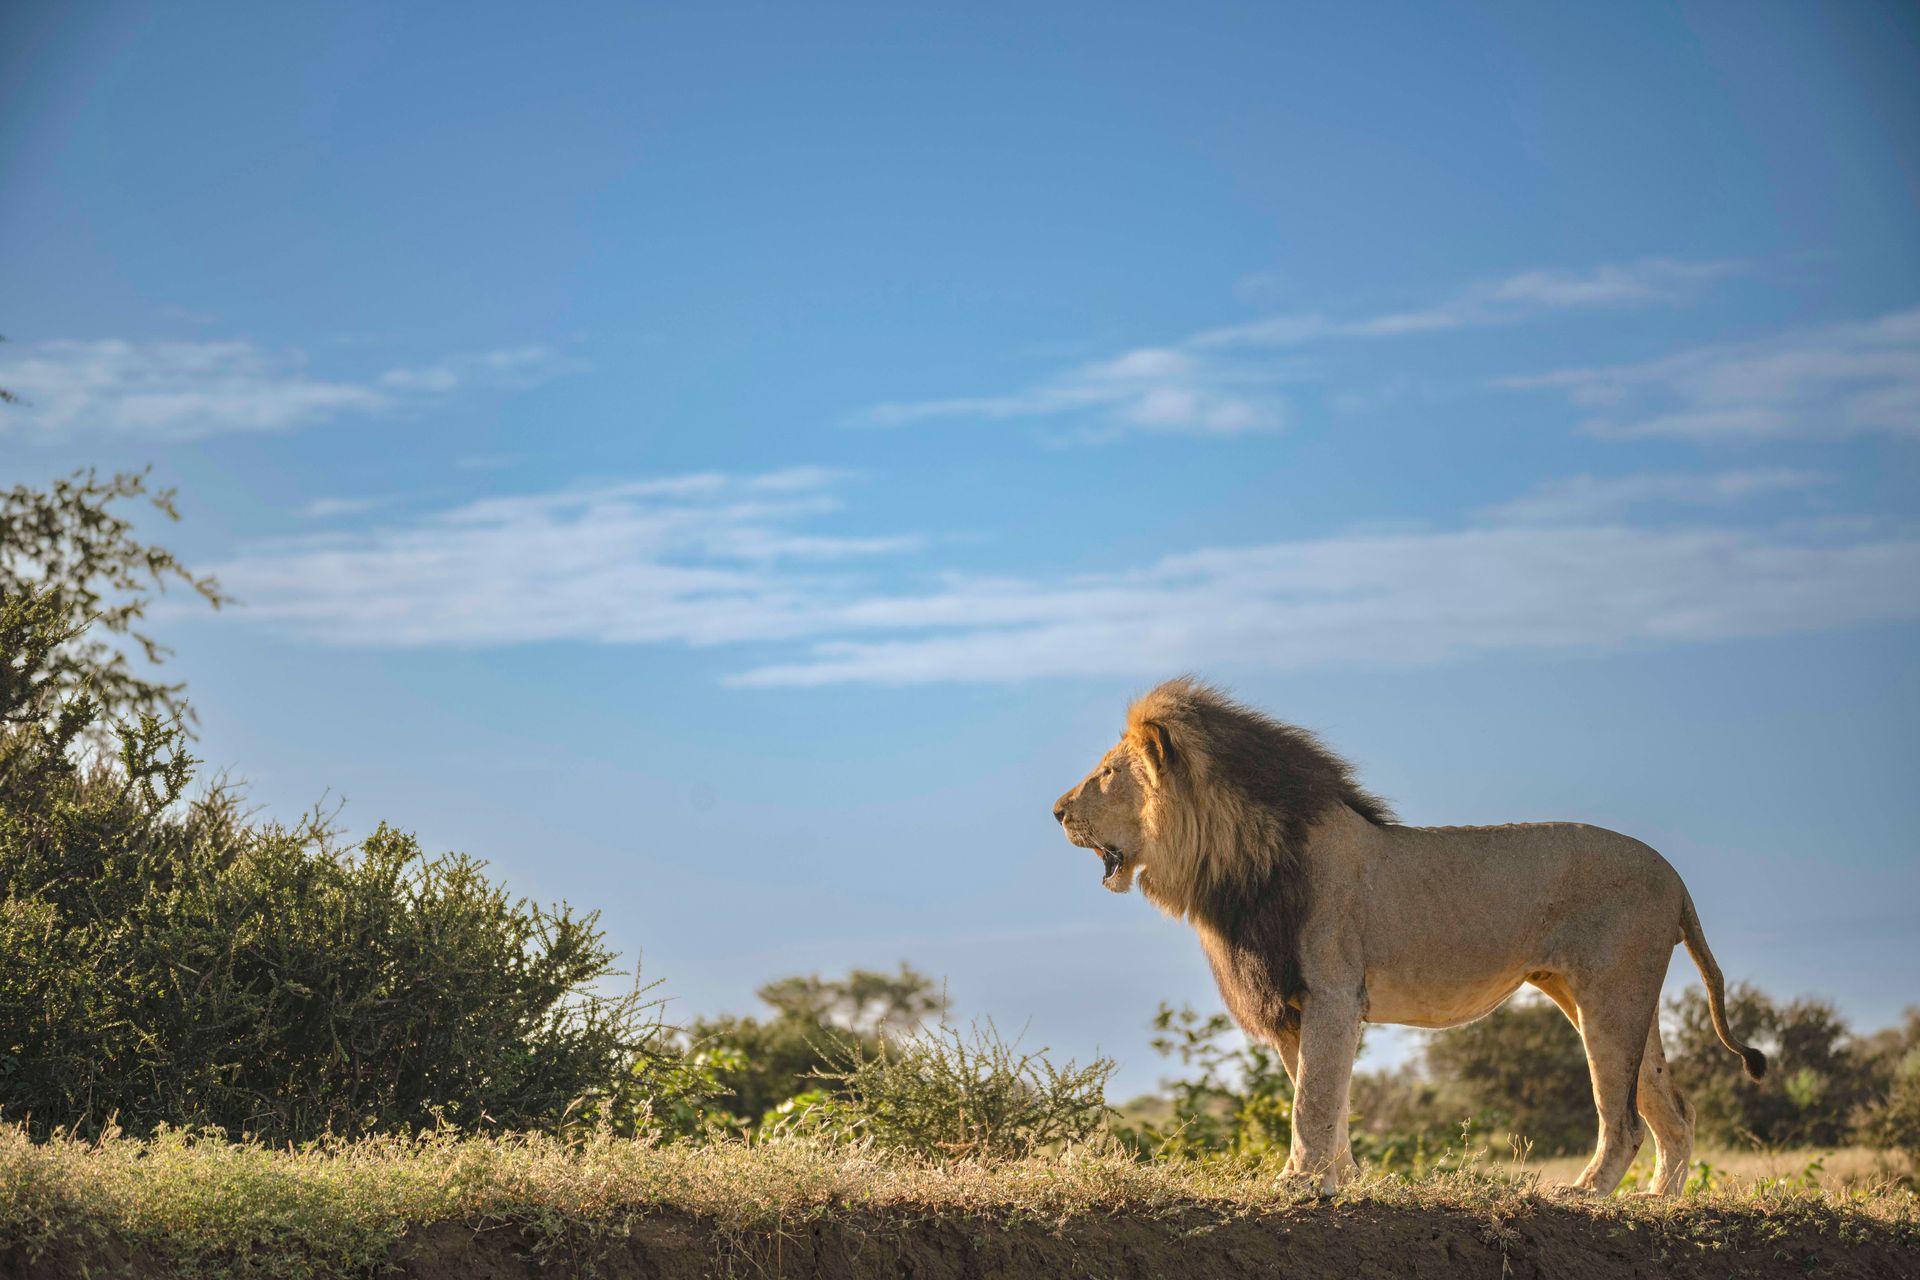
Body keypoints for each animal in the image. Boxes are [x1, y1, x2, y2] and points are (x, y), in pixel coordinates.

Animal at [1052, 677, 1766, 1197]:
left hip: (1609, 998)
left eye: (1108, 772)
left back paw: (1585, 1194)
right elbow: (1326, 1099)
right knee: (1674, 1110)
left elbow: (1311, 1101)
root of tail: (1673, 875)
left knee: (1623, 1120)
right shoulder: (1296, 1006)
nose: (1057, 811)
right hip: (1610, 998)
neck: (1233, 865)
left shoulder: (1333, 991)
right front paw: (1340, 1181)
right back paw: (1660, 1201)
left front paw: (1298, 1185)